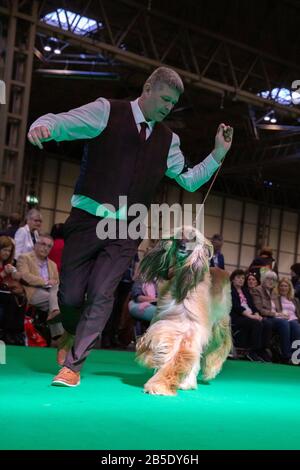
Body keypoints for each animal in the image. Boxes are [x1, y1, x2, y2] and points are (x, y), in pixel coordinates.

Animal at [136, 226, 232, 394]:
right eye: (178, 237)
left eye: (193, 237)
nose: (182, 246)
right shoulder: (170, 325)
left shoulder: (191, 329)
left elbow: (181, 355)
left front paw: (160, 384)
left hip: (220, 321)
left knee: (223, 343)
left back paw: (211, 369)